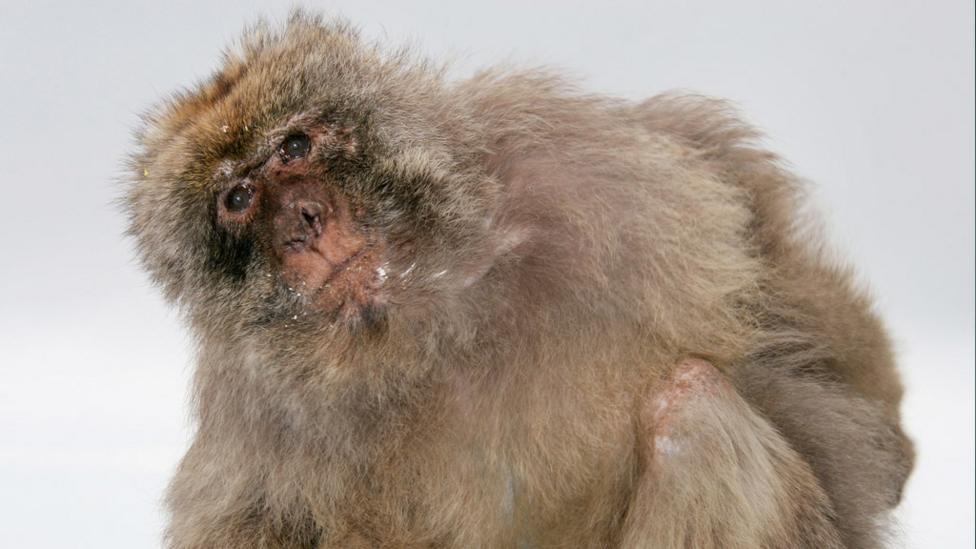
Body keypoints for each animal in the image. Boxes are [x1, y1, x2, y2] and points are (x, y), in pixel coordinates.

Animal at [125, 11, 913, 549]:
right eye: (237, 199)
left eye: (294, 146)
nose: (302, 223)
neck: (431, 325)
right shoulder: (254, 403)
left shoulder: (578, 161)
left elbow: (754, 235)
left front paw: (890, 453)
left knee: (692, 410)